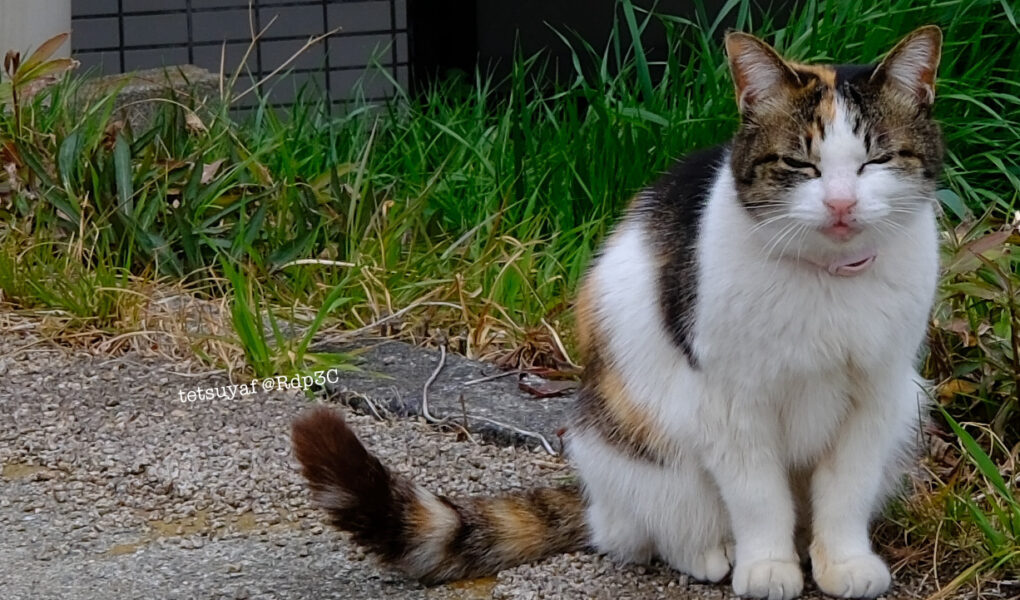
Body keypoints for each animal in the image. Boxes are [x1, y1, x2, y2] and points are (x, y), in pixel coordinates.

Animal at [291, 26, 942, 600]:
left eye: (876, 161)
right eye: (800, 164)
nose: (841, 204)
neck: (829, 281)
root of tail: (597, 499)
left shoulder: (878, 394)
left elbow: (846, 490)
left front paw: (844, 562)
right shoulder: (732, 402)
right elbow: (759, 496)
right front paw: (767, 566)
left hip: (909, 403)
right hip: (645, 436)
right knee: (654, 529)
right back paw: (715, 552)